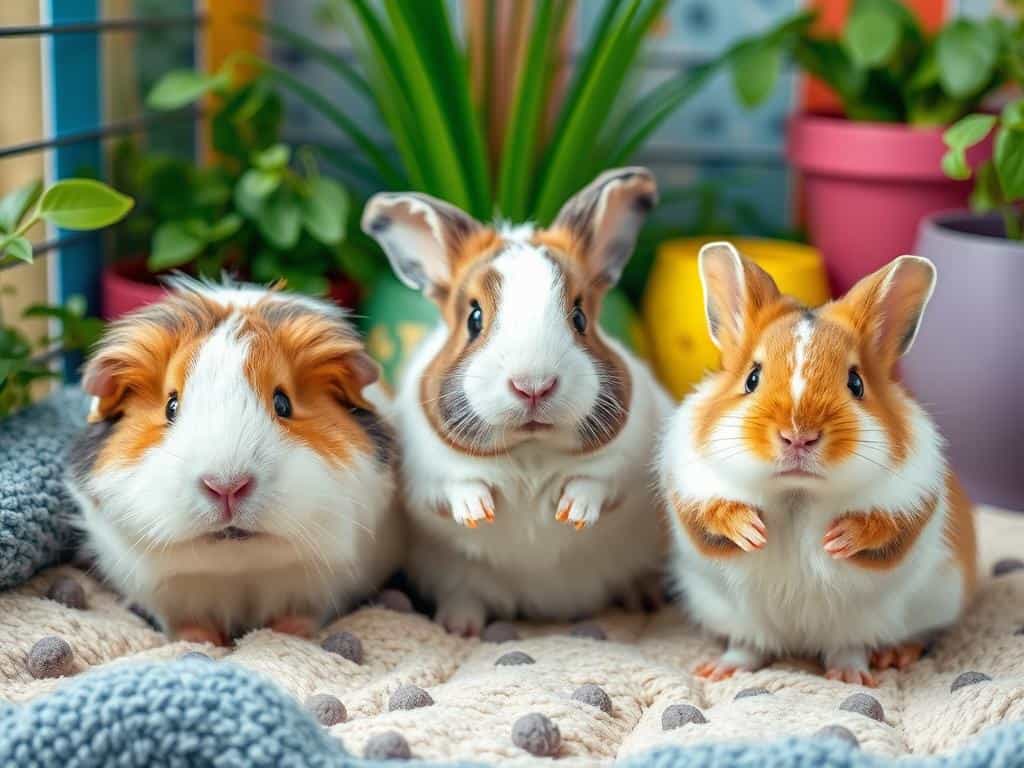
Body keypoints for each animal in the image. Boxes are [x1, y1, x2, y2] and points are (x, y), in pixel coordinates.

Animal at [66, 278, 402, 644]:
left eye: (283, 403)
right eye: (171, 406)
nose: (226, 486)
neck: (238, 568)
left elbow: (304, 612)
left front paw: (292, 633)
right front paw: (199, 639)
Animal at [361, 167, 674, 635]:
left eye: (580, 317)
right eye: (474, 318)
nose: (533, 386)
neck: (530, 449)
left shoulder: (626, 467)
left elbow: (595, 482)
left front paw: (574, 513)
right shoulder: (427, 474)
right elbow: (458, 483)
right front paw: (476, 511)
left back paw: (646, 598)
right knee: (466, 596)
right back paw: (459, 626)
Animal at [659, 242, 977, 686]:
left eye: (856, 383)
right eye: (752, 378)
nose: (798, 435)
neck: (797, 490)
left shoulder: (908, 500)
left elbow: (880, 528)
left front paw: (838, 539)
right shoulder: (695, 489)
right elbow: (717, 515)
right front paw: (752, 531)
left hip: (897, 612)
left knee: (857, 646)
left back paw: (863, 671)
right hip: (737, 617)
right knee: (749, 645)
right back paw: (719, 670)